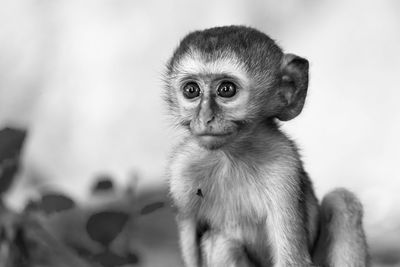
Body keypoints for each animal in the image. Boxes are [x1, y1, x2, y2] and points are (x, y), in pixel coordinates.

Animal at [164, 26, 370, 267]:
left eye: (226, 89)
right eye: (191, 90)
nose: (204, 118)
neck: (230, 157)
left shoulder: (284, 167)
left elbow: (292, 260)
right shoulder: (181, 170)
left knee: (342, 201)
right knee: (221, 244)